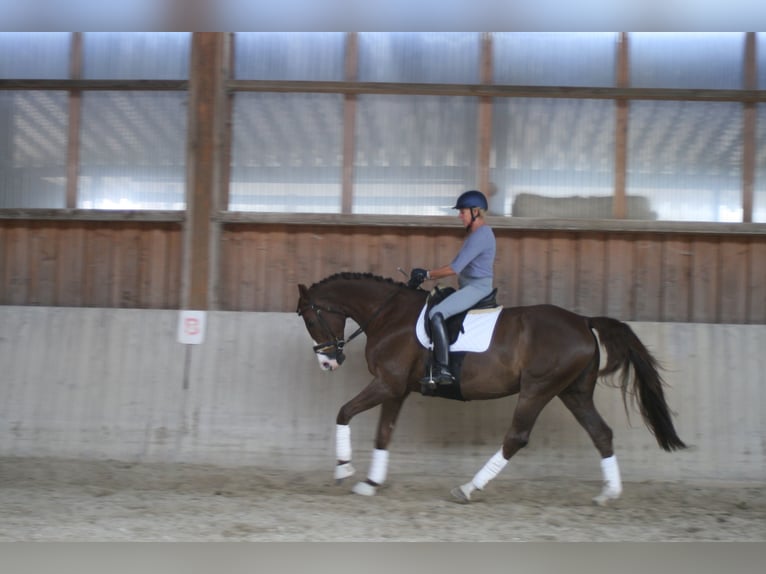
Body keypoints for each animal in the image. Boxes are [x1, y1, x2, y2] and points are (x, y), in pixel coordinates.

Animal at [296, 274, 688, 504]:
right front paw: (370, 482)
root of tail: (583, 321)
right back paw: (610, 493)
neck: (389, 316)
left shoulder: (386, 383)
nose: (328, 362)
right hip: (573, 393)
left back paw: (468, 488)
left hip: (537, 389)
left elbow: (344, 412)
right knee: (601, 433)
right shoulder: (396, 389)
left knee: (517, 437)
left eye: (310, 318)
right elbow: (383, 433)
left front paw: (343, 469)